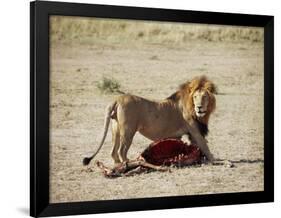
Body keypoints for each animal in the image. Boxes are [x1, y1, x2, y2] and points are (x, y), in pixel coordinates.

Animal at [83, 75, 217, 165]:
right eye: (195, 97)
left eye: (204, 96)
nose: (199, 107)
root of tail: (118, 99)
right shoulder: (195, 131)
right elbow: (205, 147)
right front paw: (215, 160)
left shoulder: (190, 134)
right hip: (128, 131)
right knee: (121, 151)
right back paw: (129, 163)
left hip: (115, 129)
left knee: (113, 151)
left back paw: (119, 165)